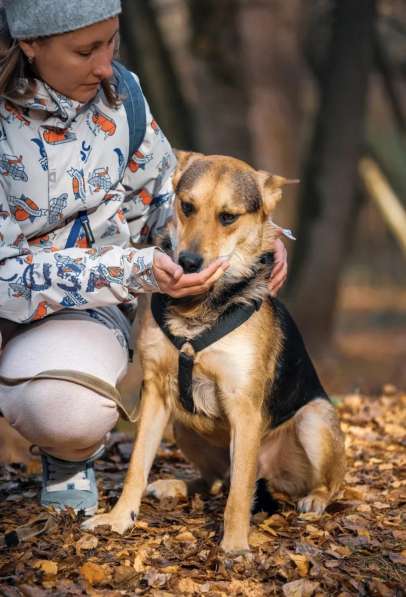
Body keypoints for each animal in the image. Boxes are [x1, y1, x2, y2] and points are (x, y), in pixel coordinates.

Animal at [83, 151, 346, 552]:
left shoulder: (243, 405)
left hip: (313, 420)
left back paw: (315, 497)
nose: (188, 263)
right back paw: (175, 485)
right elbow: (136, 467)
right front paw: (119, 519)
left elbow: (238, 495)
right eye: (187, 206)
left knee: (315, 483)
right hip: (183, 422)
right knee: (216, 480)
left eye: (228, 217)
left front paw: (235, 545)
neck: (199, 309)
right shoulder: (156, 391)